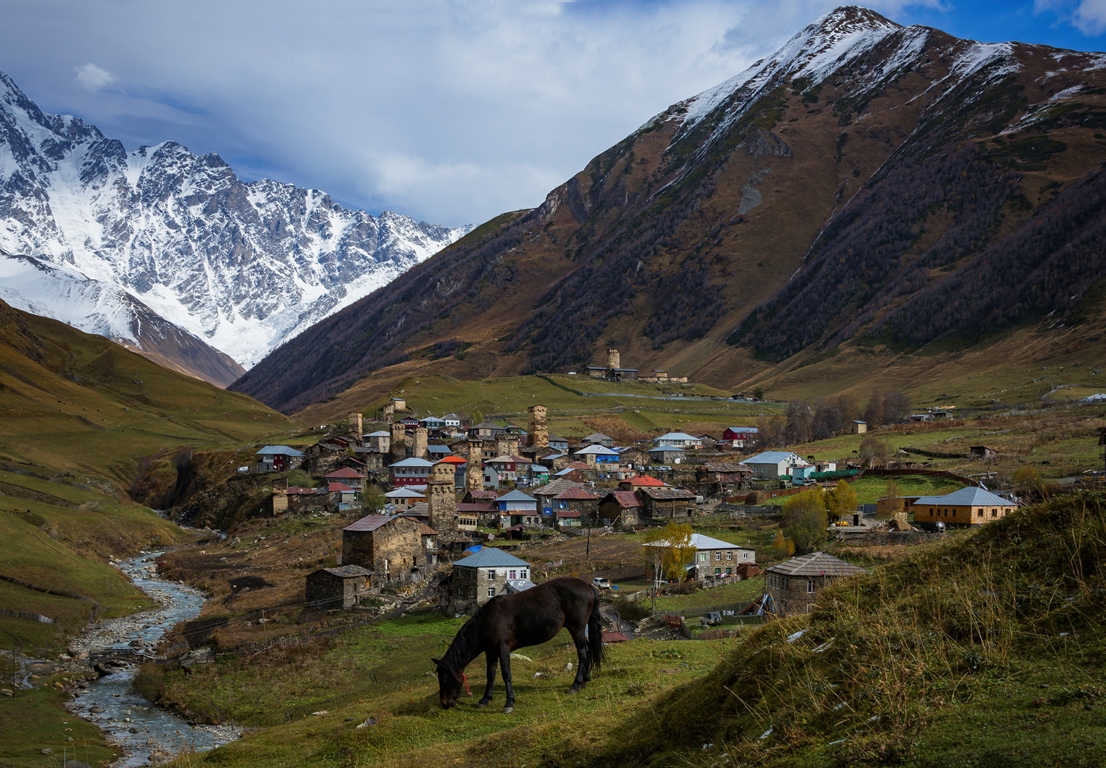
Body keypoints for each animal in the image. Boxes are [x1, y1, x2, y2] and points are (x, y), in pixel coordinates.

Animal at [431, 575, 606, 717]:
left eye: (444, 678)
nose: (444, 703)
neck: (487, 621)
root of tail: (587, 585)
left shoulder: (503, 649)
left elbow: (506, 674)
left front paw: (509, 703)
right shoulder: (490, 652)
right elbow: (490, 675)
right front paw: (485, 699)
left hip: (576, 628)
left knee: (583, 652)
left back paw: (575, 685)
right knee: (588, 650)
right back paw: (585, 679)